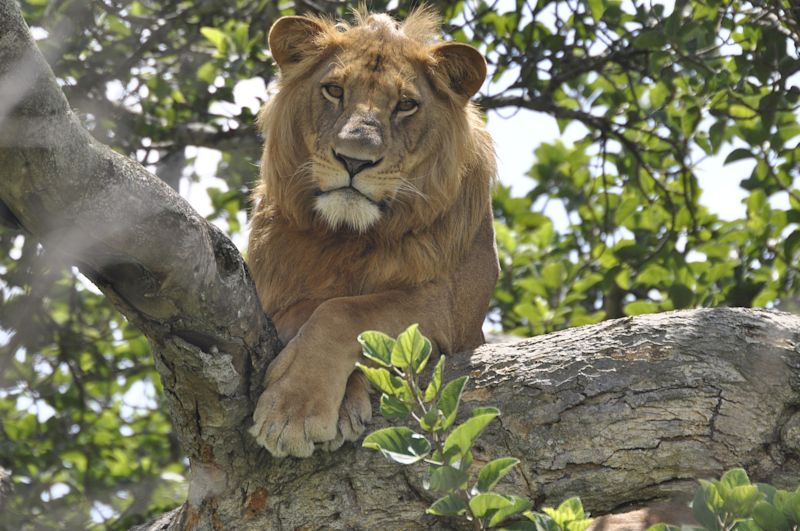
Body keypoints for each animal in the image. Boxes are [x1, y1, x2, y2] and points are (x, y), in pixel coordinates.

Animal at [247, 6, 496, 460]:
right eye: (333, 91)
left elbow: (342, 311)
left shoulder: (448, 308)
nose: (354, 160)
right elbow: (311, 306)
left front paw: (293, 411)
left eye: (406, 105)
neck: (349, 235)